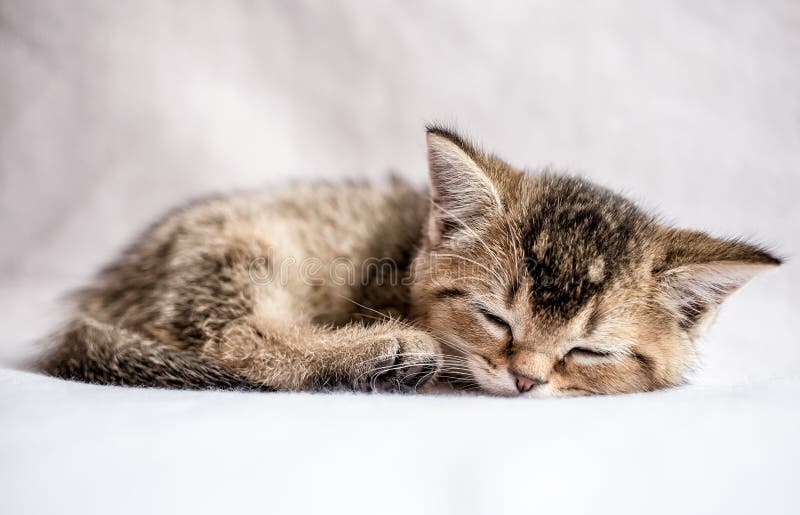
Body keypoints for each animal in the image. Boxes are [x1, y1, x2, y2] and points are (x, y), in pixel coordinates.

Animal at [39, 127, 780, 398]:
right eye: (494, 318)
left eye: (588, 352)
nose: (525, 380)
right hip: (237, 249)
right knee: (236, 341)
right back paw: (382, 351)